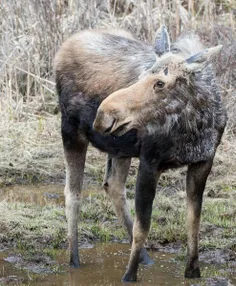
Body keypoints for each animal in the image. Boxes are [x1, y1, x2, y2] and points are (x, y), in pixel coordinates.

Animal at [54, 26, 226, 282]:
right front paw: (129, 275)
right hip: (71, 131)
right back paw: (74, 261)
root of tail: (64, 48)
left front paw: (193, 271)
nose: (104, 114)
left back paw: (146, 258)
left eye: (160, 83)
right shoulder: (150, 161)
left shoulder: (203, 161)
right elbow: (143, 225)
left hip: (119, 149)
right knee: (73, 194)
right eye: (141, 75)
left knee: (112, 185)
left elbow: (194, 221)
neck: (193, 127)